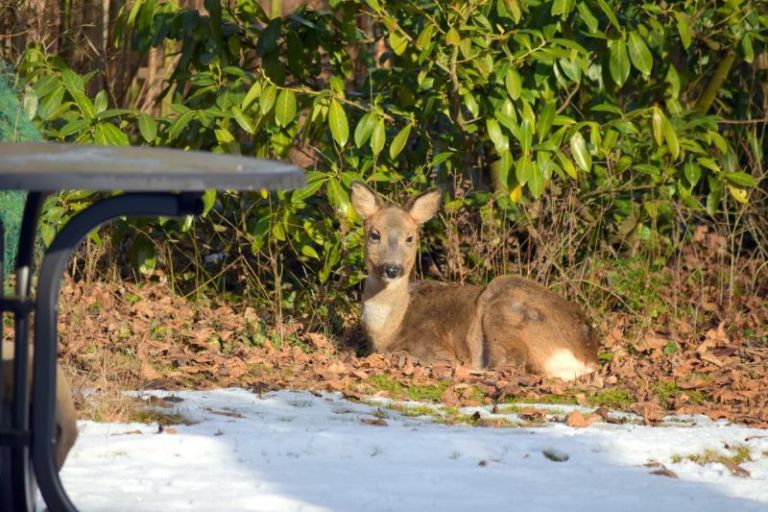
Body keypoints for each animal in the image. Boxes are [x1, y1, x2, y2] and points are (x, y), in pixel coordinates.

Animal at [350, 182, 599, 380]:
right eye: (374, 234)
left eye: (409, 238)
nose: (392, 268)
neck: (388, 328)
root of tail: (588, 358)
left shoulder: (431, 345)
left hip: (505, 308)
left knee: (511, 362)